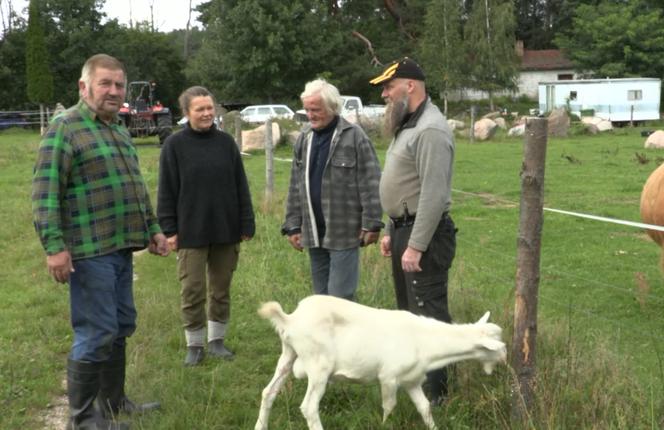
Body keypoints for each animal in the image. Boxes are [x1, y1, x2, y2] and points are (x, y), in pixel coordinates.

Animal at [256, 296, 506, 430]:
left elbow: (424, 407)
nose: (506, 360)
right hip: (319, 365)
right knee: (309, 407)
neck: (425, 340)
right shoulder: (388, 377)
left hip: (288, 354)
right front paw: (385, 424)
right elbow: (389, 407)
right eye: (498, 347)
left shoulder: (412, 381)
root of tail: (290, 320)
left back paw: (261, 425)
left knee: (269, 392)